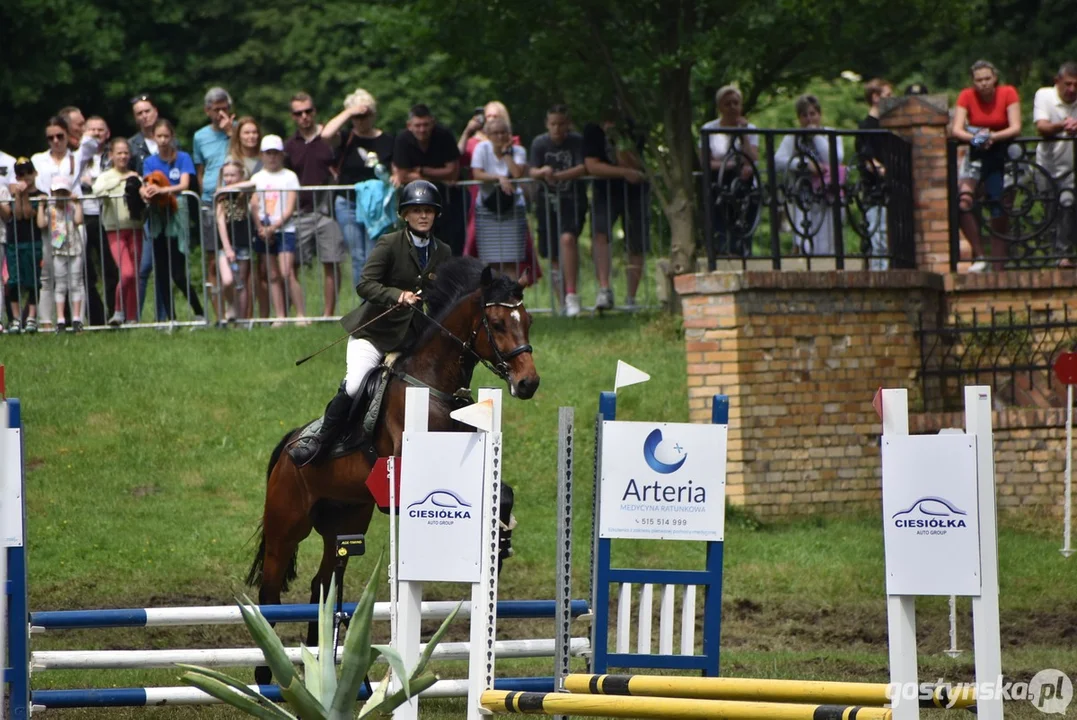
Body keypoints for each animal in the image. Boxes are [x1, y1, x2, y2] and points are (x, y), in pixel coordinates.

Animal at [244, 257, 538, 680]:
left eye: (527, 320)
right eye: (497, 323)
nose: (528, 383)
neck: (434, 386)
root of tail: (287, 447)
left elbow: (505, 493)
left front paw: (502, 540)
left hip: (345, 522)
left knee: (321, 586)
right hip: (287, 525)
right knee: (270, 594)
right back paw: (266, 675)